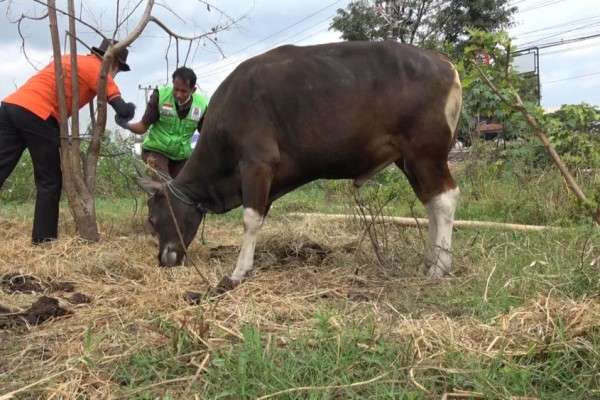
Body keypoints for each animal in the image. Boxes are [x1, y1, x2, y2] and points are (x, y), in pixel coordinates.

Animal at [141, 39, 464, 284]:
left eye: (153, 219)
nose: (163, 259)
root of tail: (442, 62)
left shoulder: (257, 164)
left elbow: (250, 220)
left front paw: (239, 271)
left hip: (426, 153)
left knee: (445, 199)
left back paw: (439, 267)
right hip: (409, 160)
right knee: (431, 202)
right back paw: (428, 260)